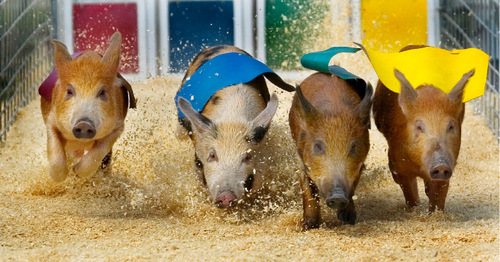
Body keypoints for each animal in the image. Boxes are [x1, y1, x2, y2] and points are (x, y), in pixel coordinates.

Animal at [40, 31, 136, 181]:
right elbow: (56, 155)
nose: (84, 123)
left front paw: (77, 172)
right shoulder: (51, 120)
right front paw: (62, 177)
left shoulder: (118, 126)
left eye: (102, 92)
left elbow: (99, 150)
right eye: (69, 91)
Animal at [374, 45, 474, 213]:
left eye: (450, 126)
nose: (440, 164)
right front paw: (414, 208)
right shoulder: (397, 163)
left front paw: (435, 213)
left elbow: (438, 191)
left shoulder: (449, 163)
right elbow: (408, 188)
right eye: (419, 126)